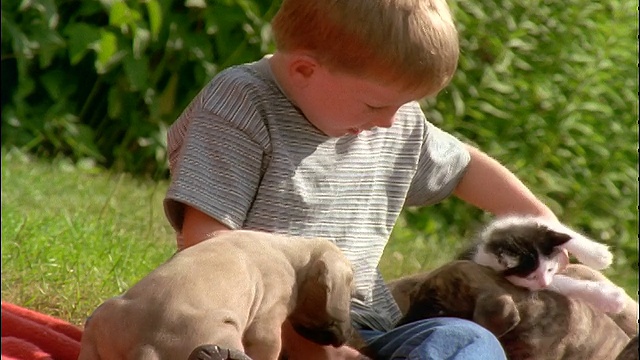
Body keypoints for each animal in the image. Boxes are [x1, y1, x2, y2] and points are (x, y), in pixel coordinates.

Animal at [79, 231, 356, 360]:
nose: (346, 337)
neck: (293, 253)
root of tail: (146, 346)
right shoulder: (267, 321)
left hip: (98, 326)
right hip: (223, 329)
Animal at [460, 215, 624, 314]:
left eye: (550, 269)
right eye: (531, 277)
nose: (544, 283)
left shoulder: (515, 223)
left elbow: (560, 230)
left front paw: (598, 255)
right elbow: (563, 284)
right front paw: (610, 297)